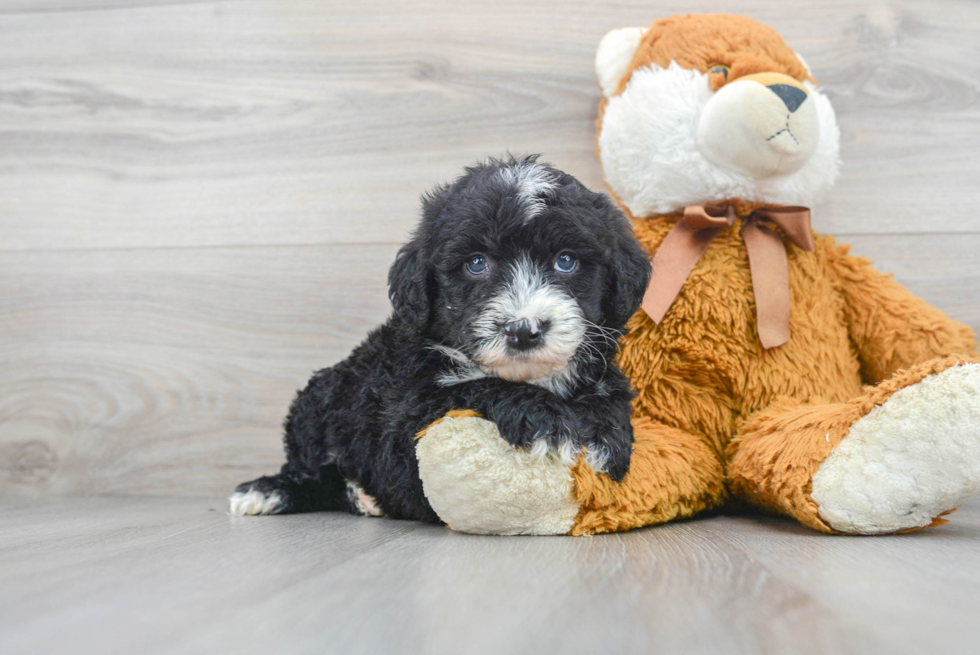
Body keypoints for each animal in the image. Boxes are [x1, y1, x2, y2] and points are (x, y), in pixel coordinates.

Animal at [230, 156, 652, 520]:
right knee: (310, 470)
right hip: (317, 403)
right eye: (476, 264)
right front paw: (546, 420)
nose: (523, 329)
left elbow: (609, 393)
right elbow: (474, 387)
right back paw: (273, 491)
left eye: (566, 261)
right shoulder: (404, 421)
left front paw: (605, 436)